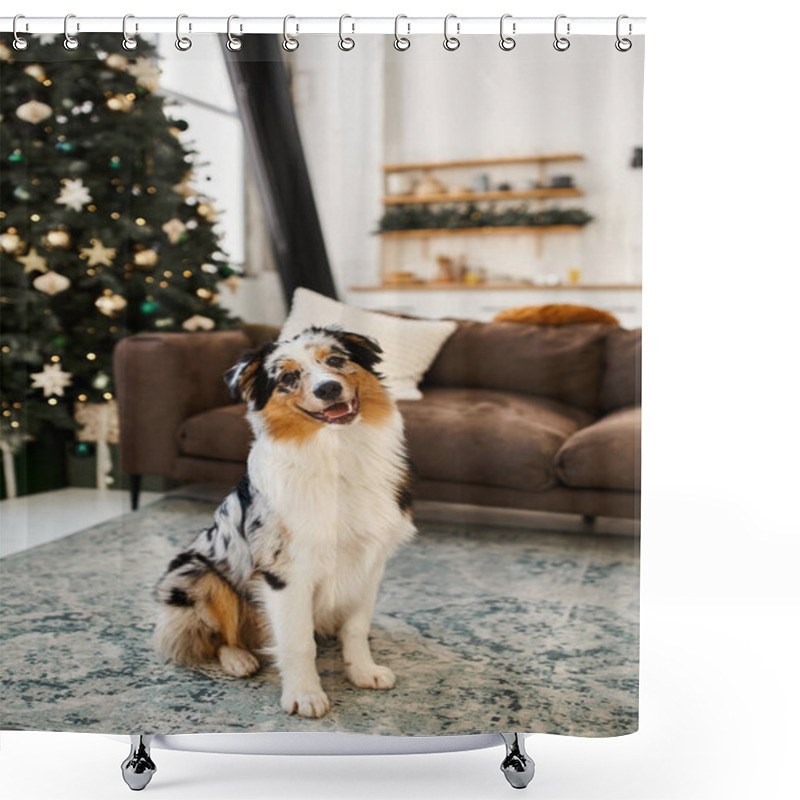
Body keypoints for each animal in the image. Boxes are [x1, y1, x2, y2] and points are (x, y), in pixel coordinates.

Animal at [156, 324, 418, 720]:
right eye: (288, 378)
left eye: (336, 360)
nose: (328, 389)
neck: (336, 454)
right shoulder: (285, 572)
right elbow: (297, 642)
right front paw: (305, 695)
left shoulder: (369, 562)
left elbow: (356, 628)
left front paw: (363, 671)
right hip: (196, 575)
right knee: (213, 637)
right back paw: (239, 660)